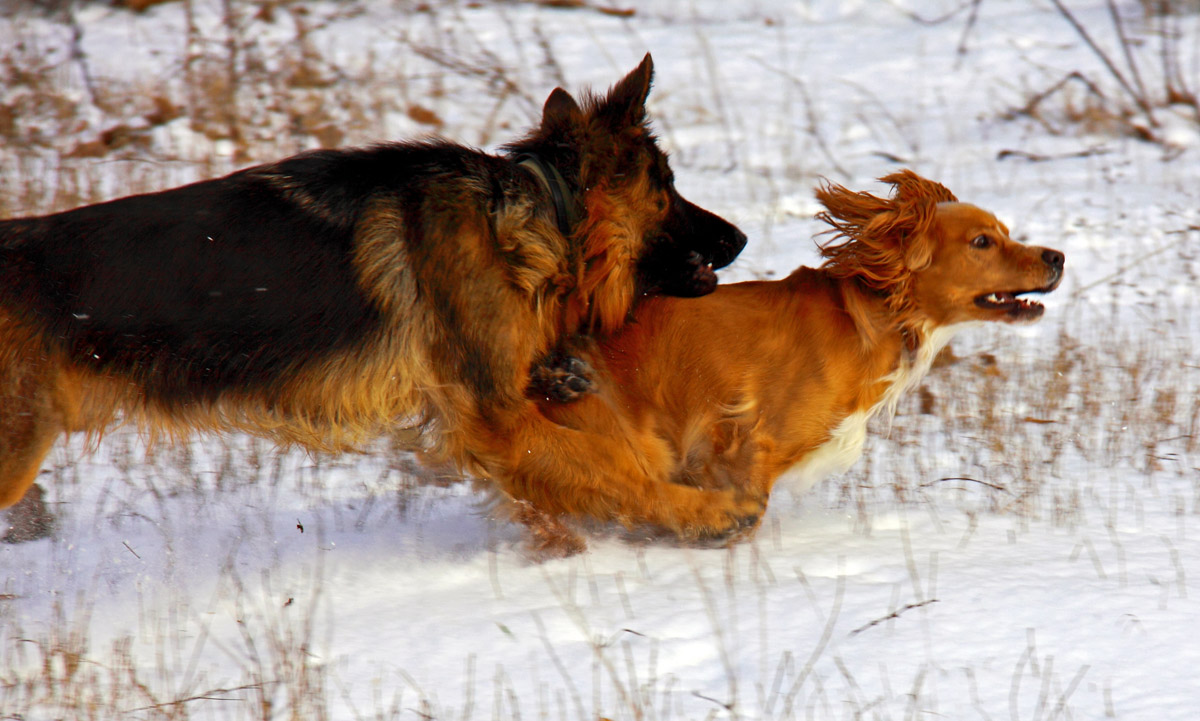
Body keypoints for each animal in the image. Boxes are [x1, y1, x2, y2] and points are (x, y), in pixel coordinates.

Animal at [0, 56, 763, 537]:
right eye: (668, 188)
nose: (743, 237)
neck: (543, 215)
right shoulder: (500, 419)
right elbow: (614, 470)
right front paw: (703, 511)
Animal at [523, 172, 1060, 551]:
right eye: (982, 242)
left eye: (1005, 232)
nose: (1056, 257)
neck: (872, 320)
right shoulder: (740, 441)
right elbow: (743, 508)